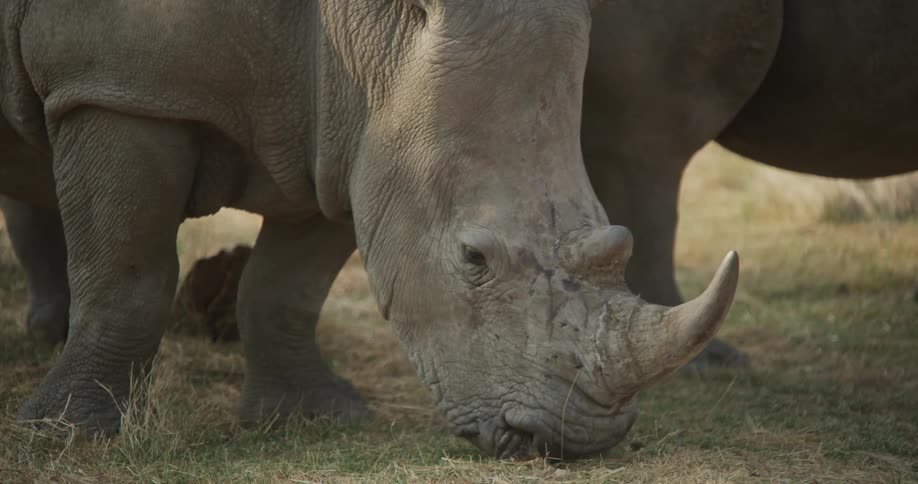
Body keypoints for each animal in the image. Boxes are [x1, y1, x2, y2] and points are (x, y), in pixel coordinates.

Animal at [0, 0, 739, 458]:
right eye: (473, 257)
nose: (580, 440)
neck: (361, 27)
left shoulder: (351, 134)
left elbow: (287, 288)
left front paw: (312, 416)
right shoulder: (117, 88)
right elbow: (129, 276)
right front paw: (72, 434)